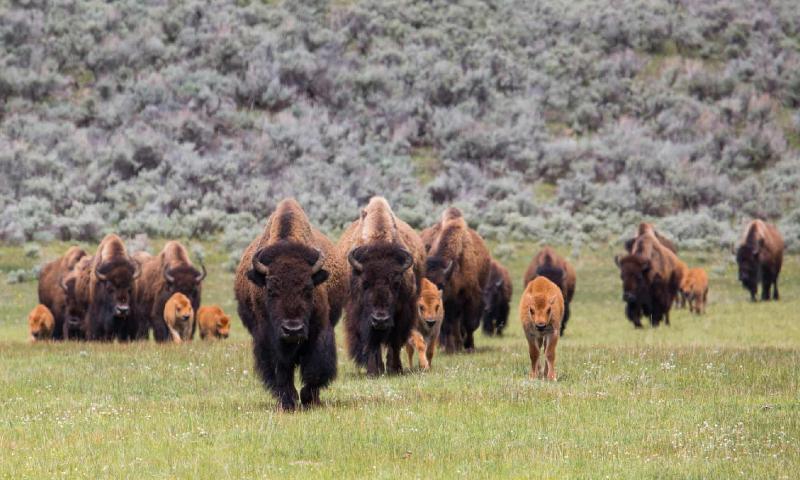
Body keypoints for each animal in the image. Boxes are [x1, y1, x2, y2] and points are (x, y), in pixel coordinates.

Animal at [231, 197, 344, 410]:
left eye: (308, 289)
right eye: (270, 290)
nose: (293, 329)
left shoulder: (319, 331)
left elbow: (315, 368)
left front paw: (308, 398)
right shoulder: (268, 338)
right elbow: (281, 370)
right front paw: (288, 401)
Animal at [338, 197, 424, 376]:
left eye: (396, 283)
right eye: (365, 283)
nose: (380, 319)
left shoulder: (403, 312)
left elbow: (395, 342)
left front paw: (395, 368)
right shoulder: (359, 314)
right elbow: (371, 343)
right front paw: (373, 371)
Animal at [424, 207, 494, 352]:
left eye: (441, 284)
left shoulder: (471, 298)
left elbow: (470, 324)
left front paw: (469, 346)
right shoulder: (448, 304)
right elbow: (448, 325)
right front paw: (450, 349)